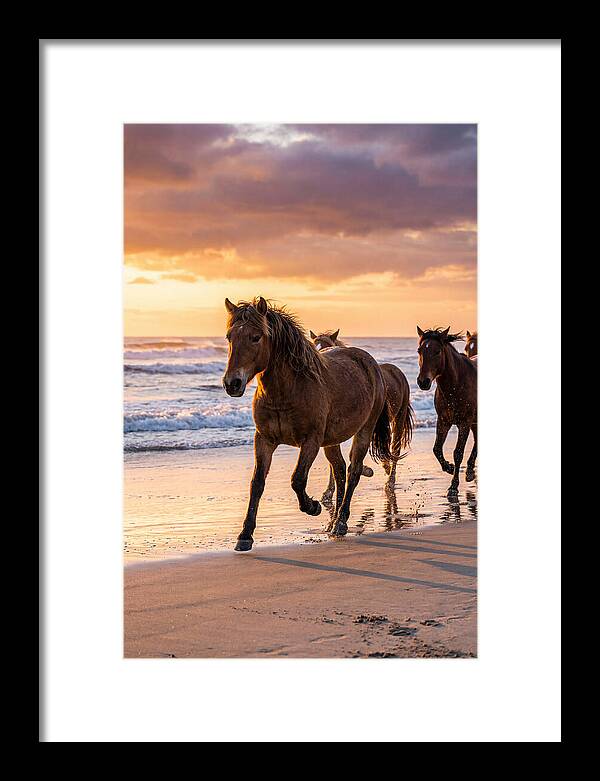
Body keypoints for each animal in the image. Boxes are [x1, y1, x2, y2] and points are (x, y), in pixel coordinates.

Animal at [222, 297, 393, 550]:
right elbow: (257, 483)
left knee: (353, 471)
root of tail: (371, 364)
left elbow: (297, 479)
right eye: (229, 337)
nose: (232, 383)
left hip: (363, 431)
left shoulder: (310, 441)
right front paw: (245, 535)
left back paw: (341, 522)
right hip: (331, 441)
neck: (287, 390)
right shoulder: (264, 440)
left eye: (255, 337)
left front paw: (312, 507)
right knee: (340, 470)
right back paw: (333, 523)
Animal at [309, 329, 414, 493]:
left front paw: (366, 470)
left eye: (327, 345)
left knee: (395, 449)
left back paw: (390, 481)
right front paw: (329, 491)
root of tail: (397, 371)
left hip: (398, 418)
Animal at [416, 326, 477, 495]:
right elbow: (436, 449)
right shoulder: (443, 421)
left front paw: (453, 486)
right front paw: (448, 467)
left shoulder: (465, 423)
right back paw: (470, 471)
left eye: (437, 351)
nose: (423, 382)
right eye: (419, 350)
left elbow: (458, 453)